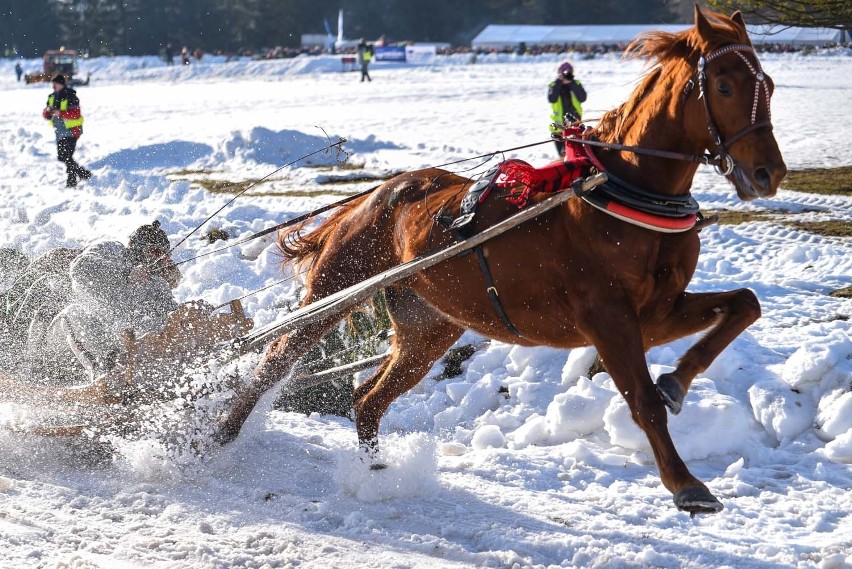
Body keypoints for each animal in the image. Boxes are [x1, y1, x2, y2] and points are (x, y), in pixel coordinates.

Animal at [220, 7, 784, 516]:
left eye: (770, 85)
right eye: (725, 88)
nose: (768, 173)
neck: (625, 191)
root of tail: (380, 192)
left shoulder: (655, 312)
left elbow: (744, 305)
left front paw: (677, 381)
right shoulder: (608, 318)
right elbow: (642, 400)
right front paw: (686, 483)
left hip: (428, 328)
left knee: (368, 399)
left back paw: (374, 472)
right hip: (337, 289)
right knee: (276, 361)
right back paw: (220, 434)